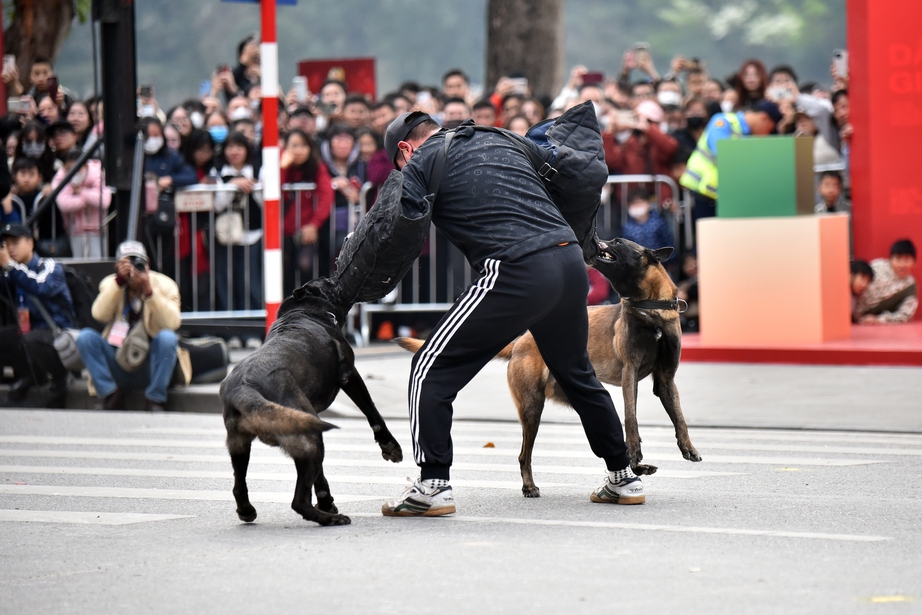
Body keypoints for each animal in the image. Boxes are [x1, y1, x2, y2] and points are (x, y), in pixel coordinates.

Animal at [221, 280, 400, 524]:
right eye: (328, 283)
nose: (336, 280)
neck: (304, 311)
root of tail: (245, 388)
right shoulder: (349, 375)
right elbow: (372, 412)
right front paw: (389, 445)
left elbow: (320, 476)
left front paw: (326, 501)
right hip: (309, 437)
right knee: (298, 502)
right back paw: (330, 519)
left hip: (242, 444)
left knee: (239, 487)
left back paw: (247, 510)